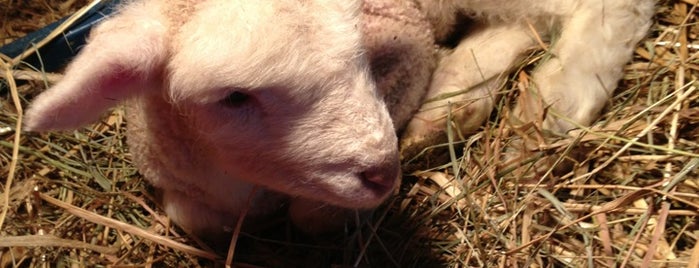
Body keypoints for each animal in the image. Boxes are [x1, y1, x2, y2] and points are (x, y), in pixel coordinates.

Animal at [23, 0, 656, 239]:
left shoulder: (408, 52)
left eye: (362, 60)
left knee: (608, 10)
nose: (384, 173)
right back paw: (451, 108)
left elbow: (310, 219)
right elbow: (195, 218)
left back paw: (547, 114)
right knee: (524, 25)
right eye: (234, 98)